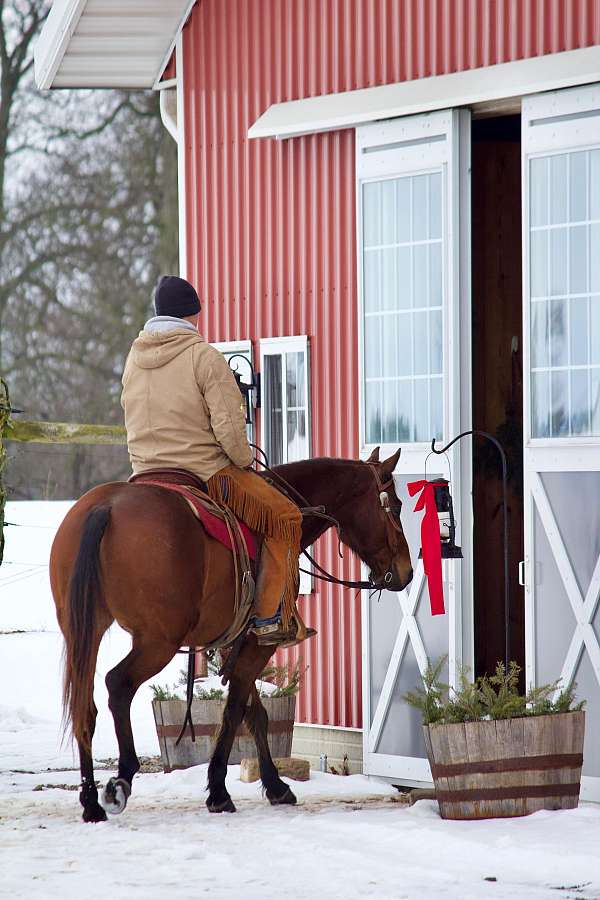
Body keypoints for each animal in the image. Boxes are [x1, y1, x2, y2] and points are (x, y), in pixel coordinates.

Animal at [50, 444, 412, 824]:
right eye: (395, 506)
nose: (407, 572)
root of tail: (106, 506)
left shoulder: (234, 641)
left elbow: (256, 713)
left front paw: (275, 785)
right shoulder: (258, 643)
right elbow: (236, 708)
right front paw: (220, 792)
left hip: (84, 633)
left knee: (83, 704)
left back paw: (90, 800)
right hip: (157, 643)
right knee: (118, 685)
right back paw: (120, 781)